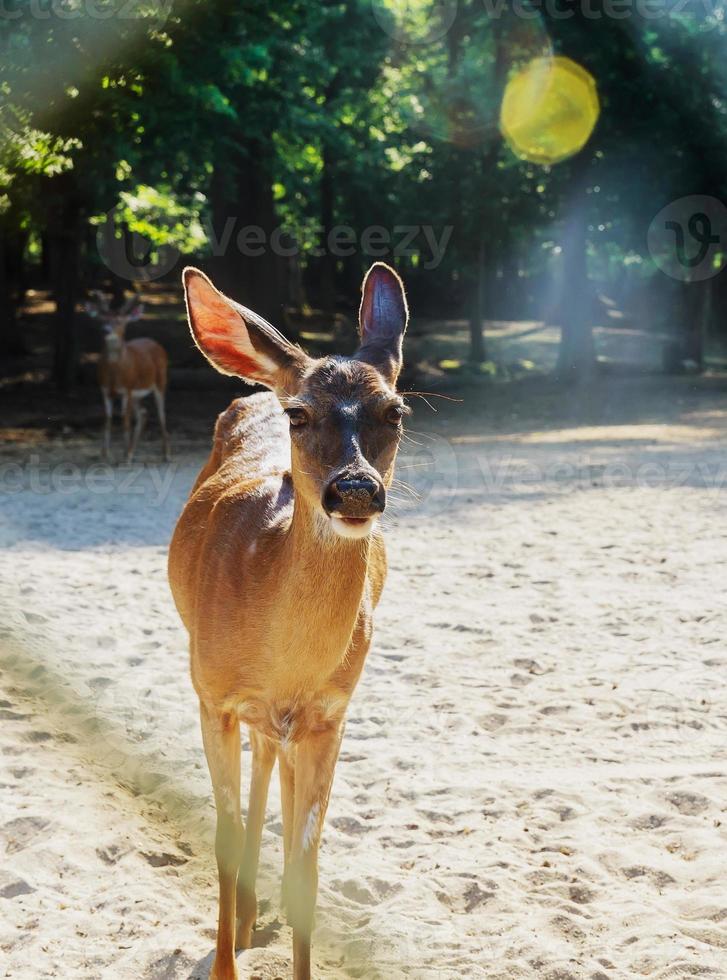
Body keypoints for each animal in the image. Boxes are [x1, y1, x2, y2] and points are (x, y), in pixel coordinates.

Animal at [86, 290, 171, 466]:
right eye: (102, 319)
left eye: (119, 321)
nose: (105, 330)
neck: (115, 373)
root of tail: (156, 343)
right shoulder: (104, 389)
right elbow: (107, 420)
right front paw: (105, 455)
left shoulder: (128, 388)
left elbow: (125, 421)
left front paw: (125, 456)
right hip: (138, 394)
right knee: (144, 413)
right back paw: (133, 450)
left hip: (160, 381)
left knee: (161, 415)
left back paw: (165, 455)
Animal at [168, 262, 412, 980]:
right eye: (299, 414)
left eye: (396, 410)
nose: (355, 489)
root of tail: (257, 389)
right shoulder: (211, 691)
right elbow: (221, 837)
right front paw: (224, 963)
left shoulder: (332, 710)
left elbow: (310, 864)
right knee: (261, 763)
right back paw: (247, 917)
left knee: (273, 763)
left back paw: (260, 907)